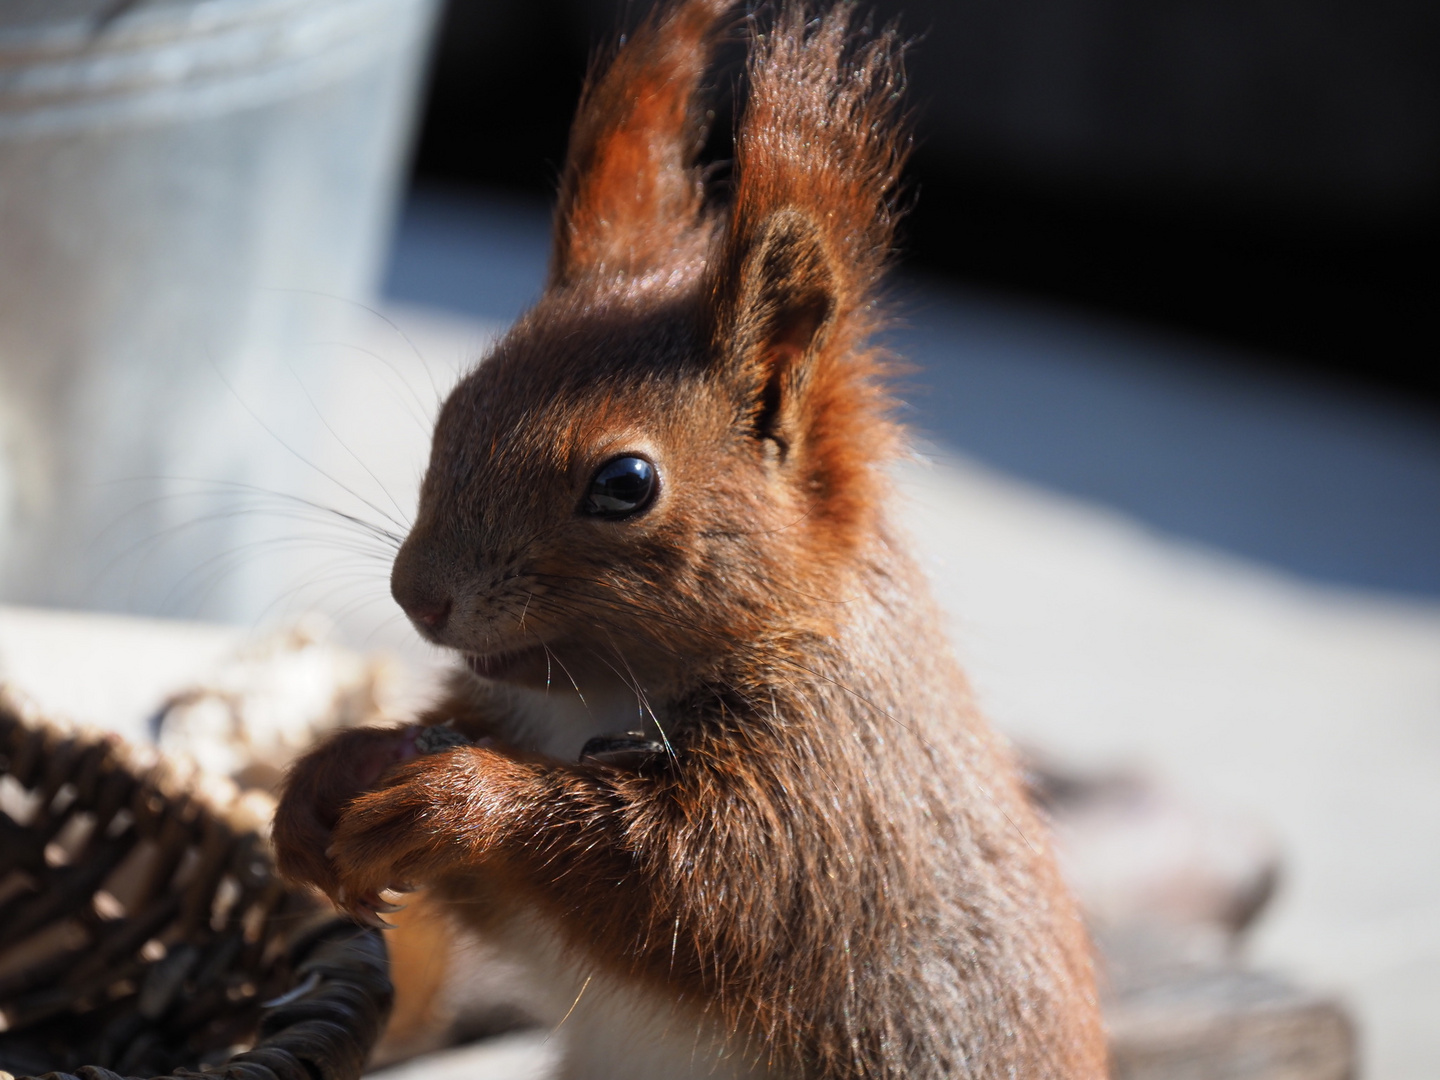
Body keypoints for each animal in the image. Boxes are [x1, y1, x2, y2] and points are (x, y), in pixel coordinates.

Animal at [272, 4, 1100, 1077]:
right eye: (454, 409)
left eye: (626, 484)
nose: (418, 596)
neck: (593, 697)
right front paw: (333, 771)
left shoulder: (829, 791)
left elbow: (696, 890)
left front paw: (458, 801)